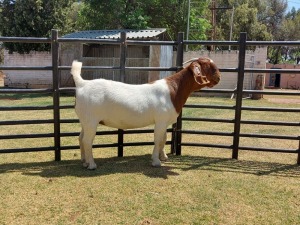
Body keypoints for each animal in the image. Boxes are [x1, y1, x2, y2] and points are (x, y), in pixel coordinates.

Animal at [70, 58, 220, 169]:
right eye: (208, 66)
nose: (219, 77)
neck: (173, 91)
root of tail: (82, 84)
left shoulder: (164, 122)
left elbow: (164, 139)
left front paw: (163, 156)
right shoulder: (160, 120)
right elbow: (158, 140)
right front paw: (156, 161)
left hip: (85, 120)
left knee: (81, 138)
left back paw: (84, 161)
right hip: (91, 120)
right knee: (87, 140)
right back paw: (91, 165)